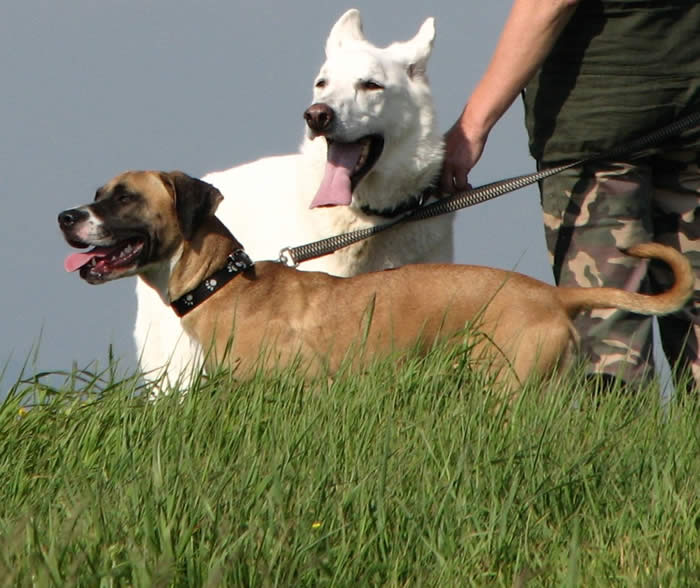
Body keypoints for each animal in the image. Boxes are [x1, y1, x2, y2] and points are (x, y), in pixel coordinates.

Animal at [57, 172, 692, 388]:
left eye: (123, 198)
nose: (65, 216)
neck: (226, 283)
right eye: (97, 193)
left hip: (507, 385)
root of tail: (555, 294)